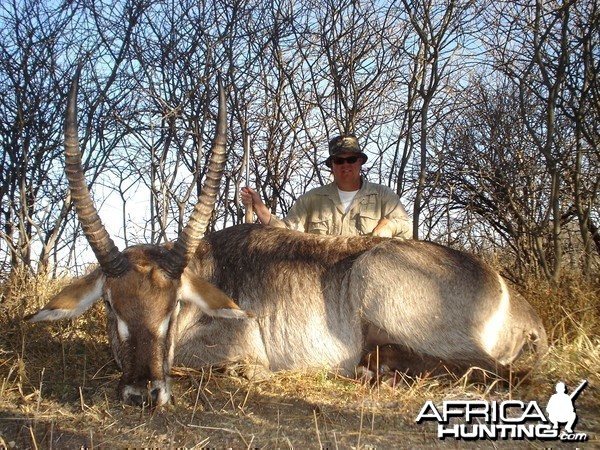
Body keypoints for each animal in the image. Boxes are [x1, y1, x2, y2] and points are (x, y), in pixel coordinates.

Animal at [27, 70, 548, 408]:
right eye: (110, 304)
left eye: (173, 305)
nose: (142, 394)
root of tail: (514, 299)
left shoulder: (237, 343)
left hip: (381, 279)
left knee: (506, 374)